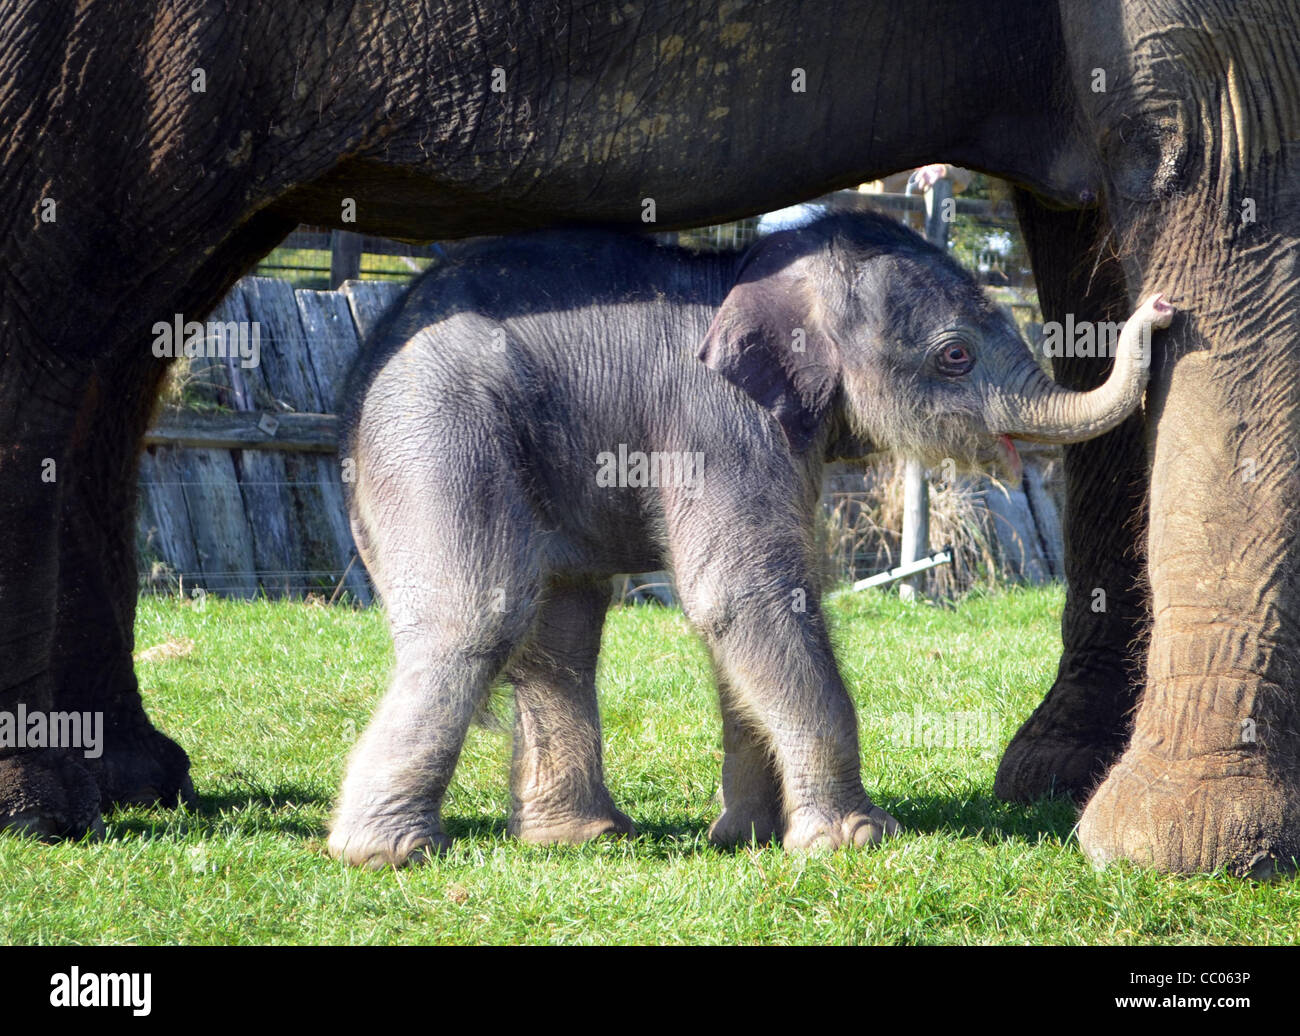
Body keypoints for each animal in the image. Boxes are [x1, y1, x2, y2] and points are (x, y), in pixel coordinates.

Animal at [329, 212, 1171, 867]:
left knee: (562, 628)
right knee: (478, 614)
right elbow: (744, 593)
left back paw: (582, 838)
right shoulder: (717, 421)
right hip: (436, 427)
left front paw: (750, 837)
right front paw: (855, 839)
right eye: (954, 355)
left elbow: (749, 609)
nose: (1161, 309)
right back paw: (386, 852)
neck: (755, 271)